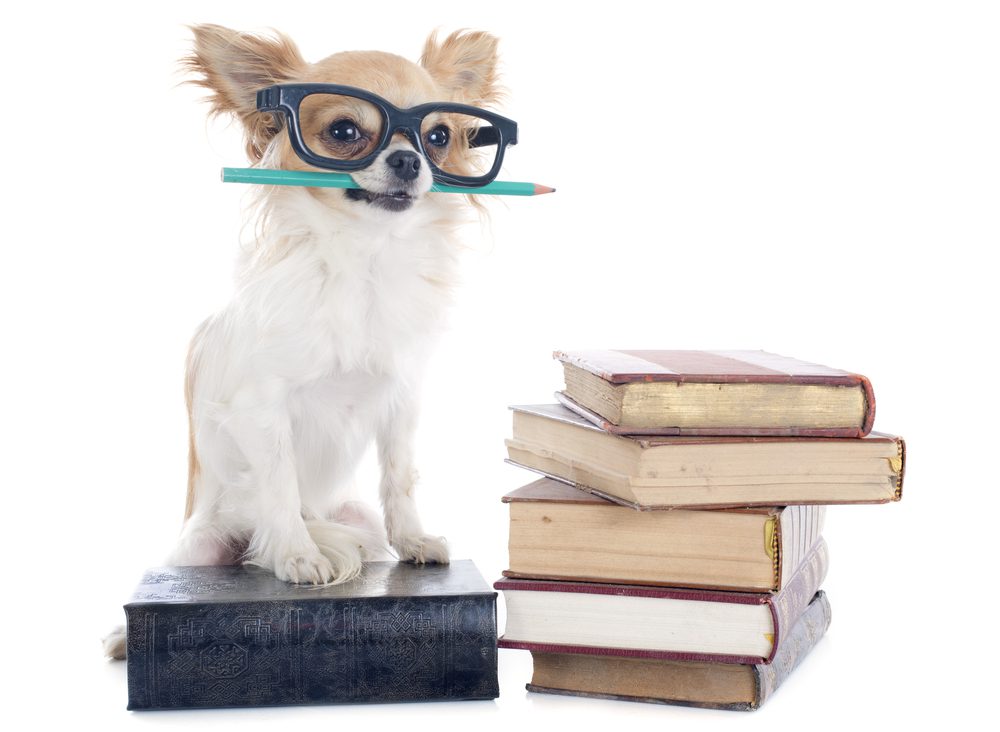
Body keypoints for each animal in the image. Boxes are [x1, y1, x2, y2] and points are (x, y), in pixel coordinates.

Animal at [103, 27, 500, 656]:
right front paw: (295, 555)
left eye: (438, 137)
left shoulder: (401, 402)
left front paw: (414, 538)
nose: (409, 159)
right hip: (200, 547)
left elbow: (401, 476)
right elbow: (280, 483)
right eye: (343, 131)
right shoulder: (260, 410)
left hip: (357, 519)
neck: (362, 259)